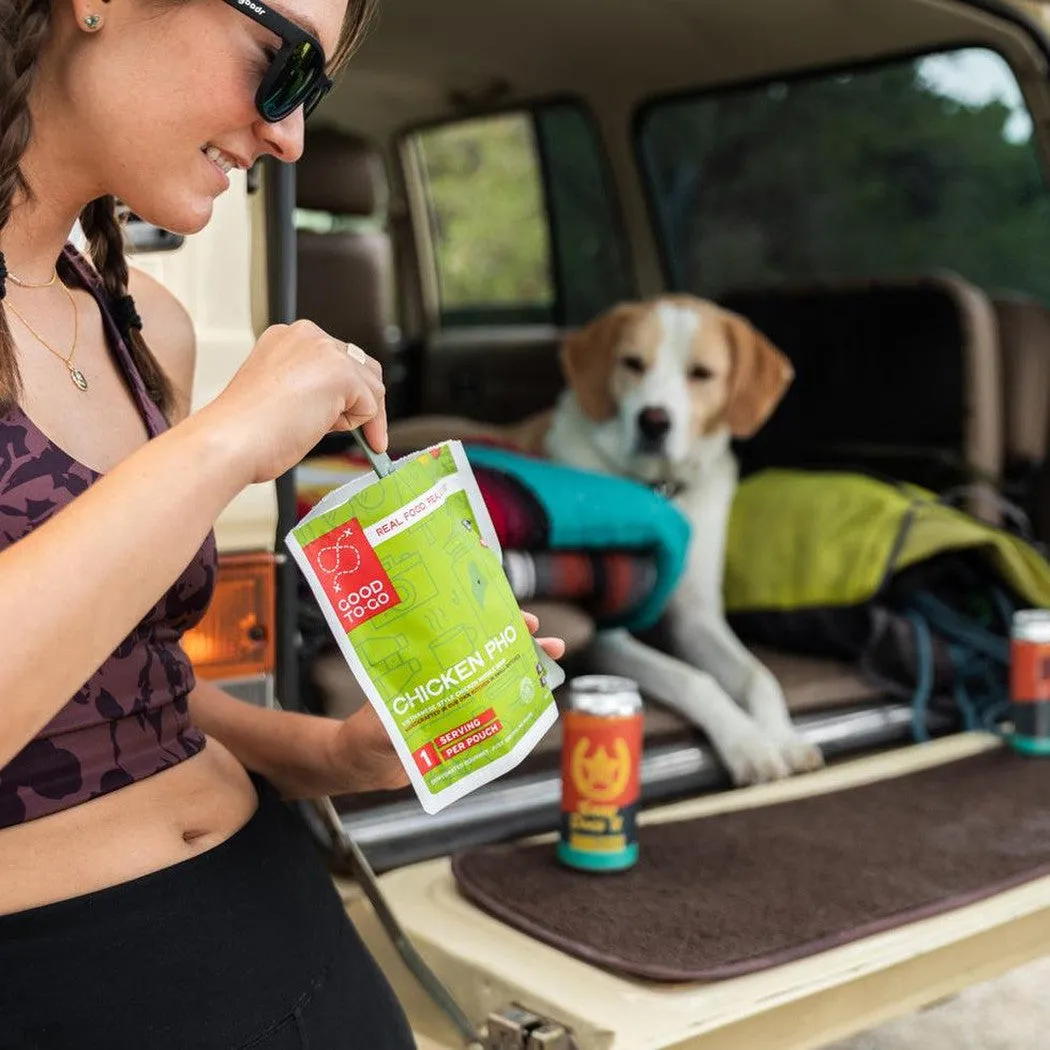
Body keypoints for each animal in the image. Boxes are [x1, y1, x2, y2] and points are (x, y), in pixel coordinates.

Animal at [541, 291, 827, 785]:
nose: (654, 421)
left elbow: (759, 675)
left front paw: (784, 738)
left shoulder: (697, 618)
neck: (659, 490)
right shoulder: (606, 637)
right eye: (632, 363)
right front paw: (749, 742)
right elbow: (694, 678)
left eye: (702, 374)